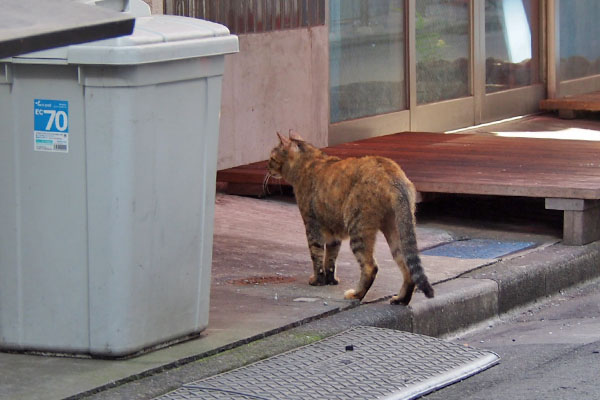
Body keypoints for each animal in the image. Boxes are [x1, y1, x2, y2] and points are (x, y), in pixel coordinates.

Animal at [266, 133, 432, 304]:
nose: (267, 167)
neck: (308, 162)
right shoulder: (333, 231)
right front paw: (330, 281)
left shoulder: (312, 226)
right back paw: (401, 299)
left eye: (271, 158)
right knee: (407, 267)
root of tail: (392, 174)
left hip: (358, 227)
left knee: (370, 267)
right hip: (396, 230)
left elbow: (317, 256)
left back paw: (356, 295)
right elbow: (330, 259)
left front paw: (318, 281)